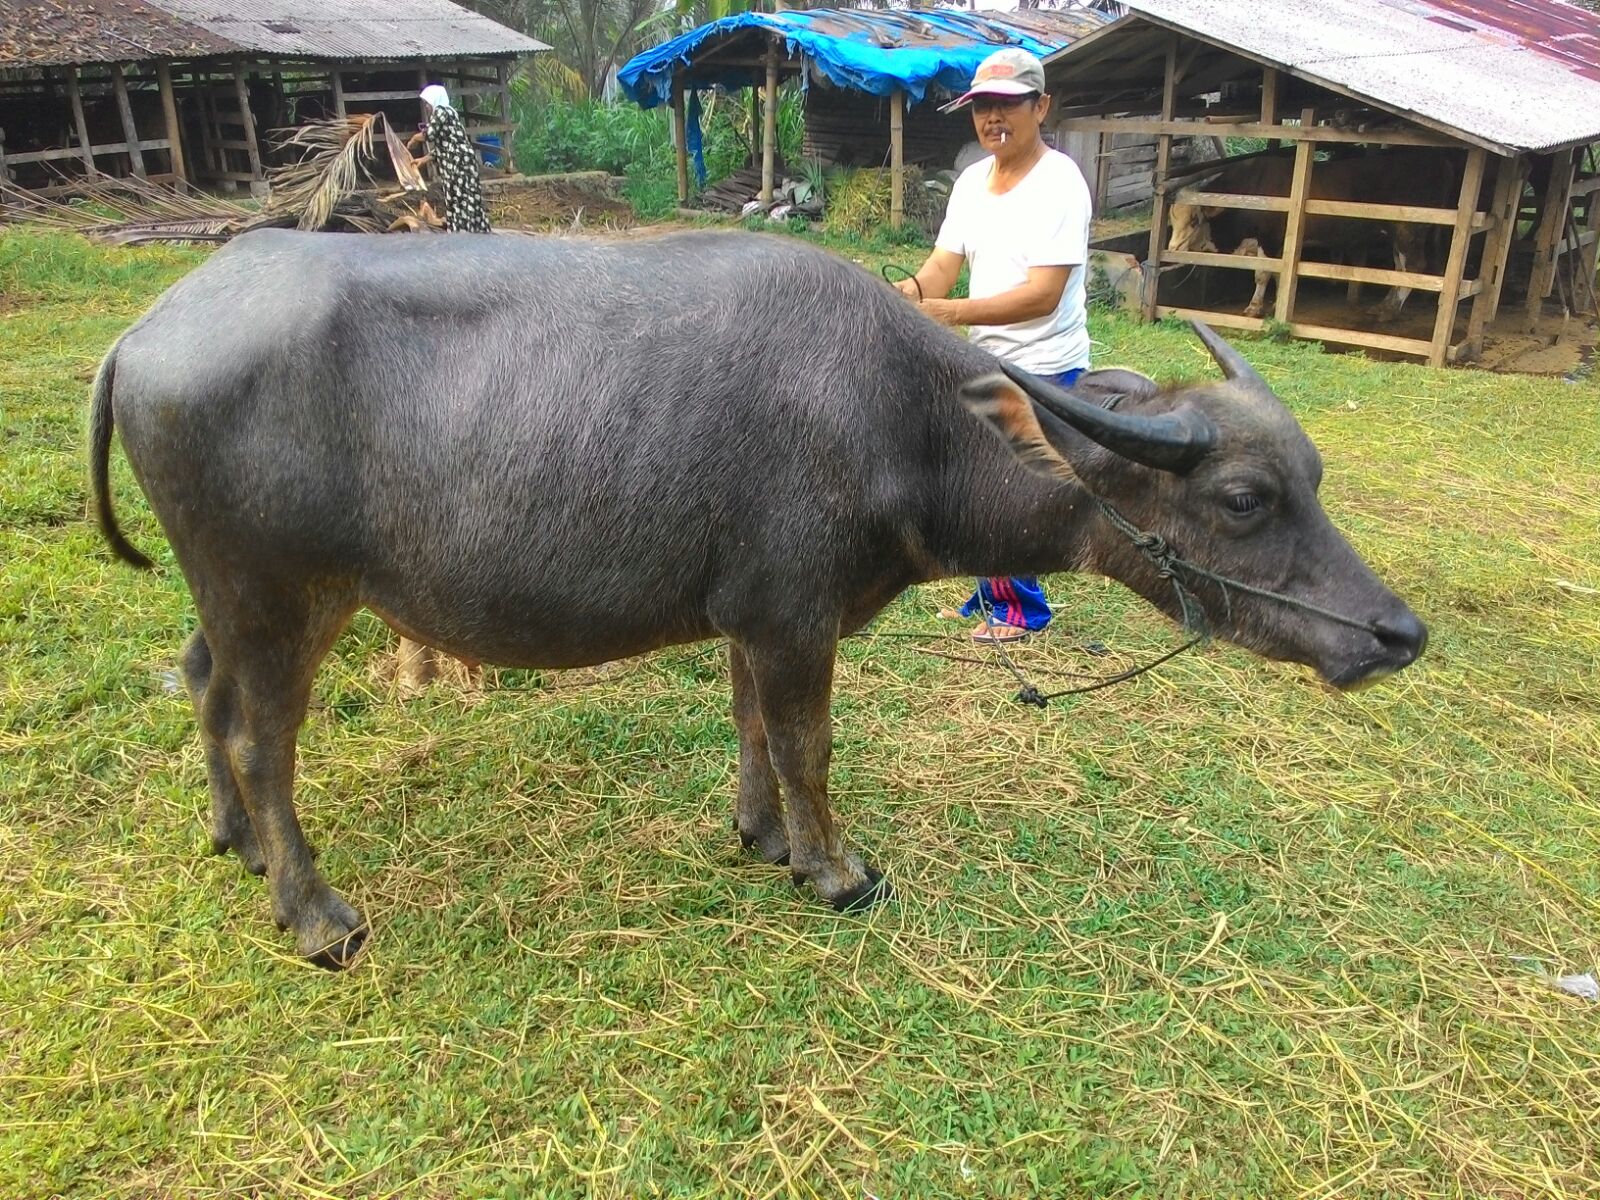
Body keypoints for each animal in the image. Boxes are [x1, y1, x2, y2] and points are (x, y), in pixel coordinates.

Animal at [87, 230, 1427, 972]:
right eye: (1246, 498)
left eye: (1312, 476)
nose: (1396, 633)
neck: (905, 421)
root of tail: (144, 334)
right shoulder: (794, 618)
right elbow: (807, 742)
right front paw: (834, 870)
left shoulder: (751, 615)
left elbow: (751, 730)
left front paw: (762, 836)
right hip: (280, 588)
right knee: (265, 737)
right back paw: (313, 911)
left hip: (250, 596)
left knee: (205, 689)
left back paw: (233, 840)